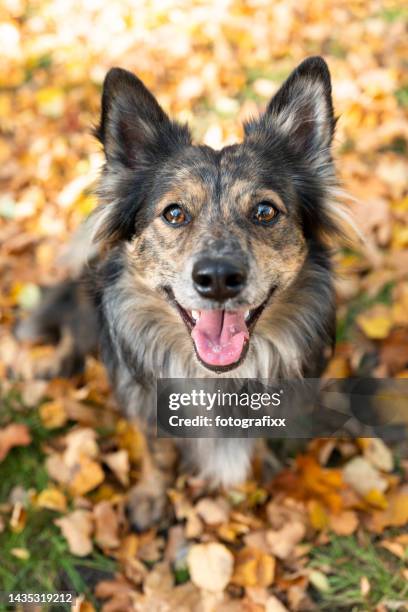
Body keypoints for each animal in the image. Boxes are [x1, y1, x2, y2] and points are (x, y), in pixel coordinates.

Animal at [16, 55, 348, 528]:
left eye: (265, 212)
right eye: (174, 213)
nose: (218, 278)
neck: (218, 379)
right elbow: (156, 451)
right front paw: (152, 497)